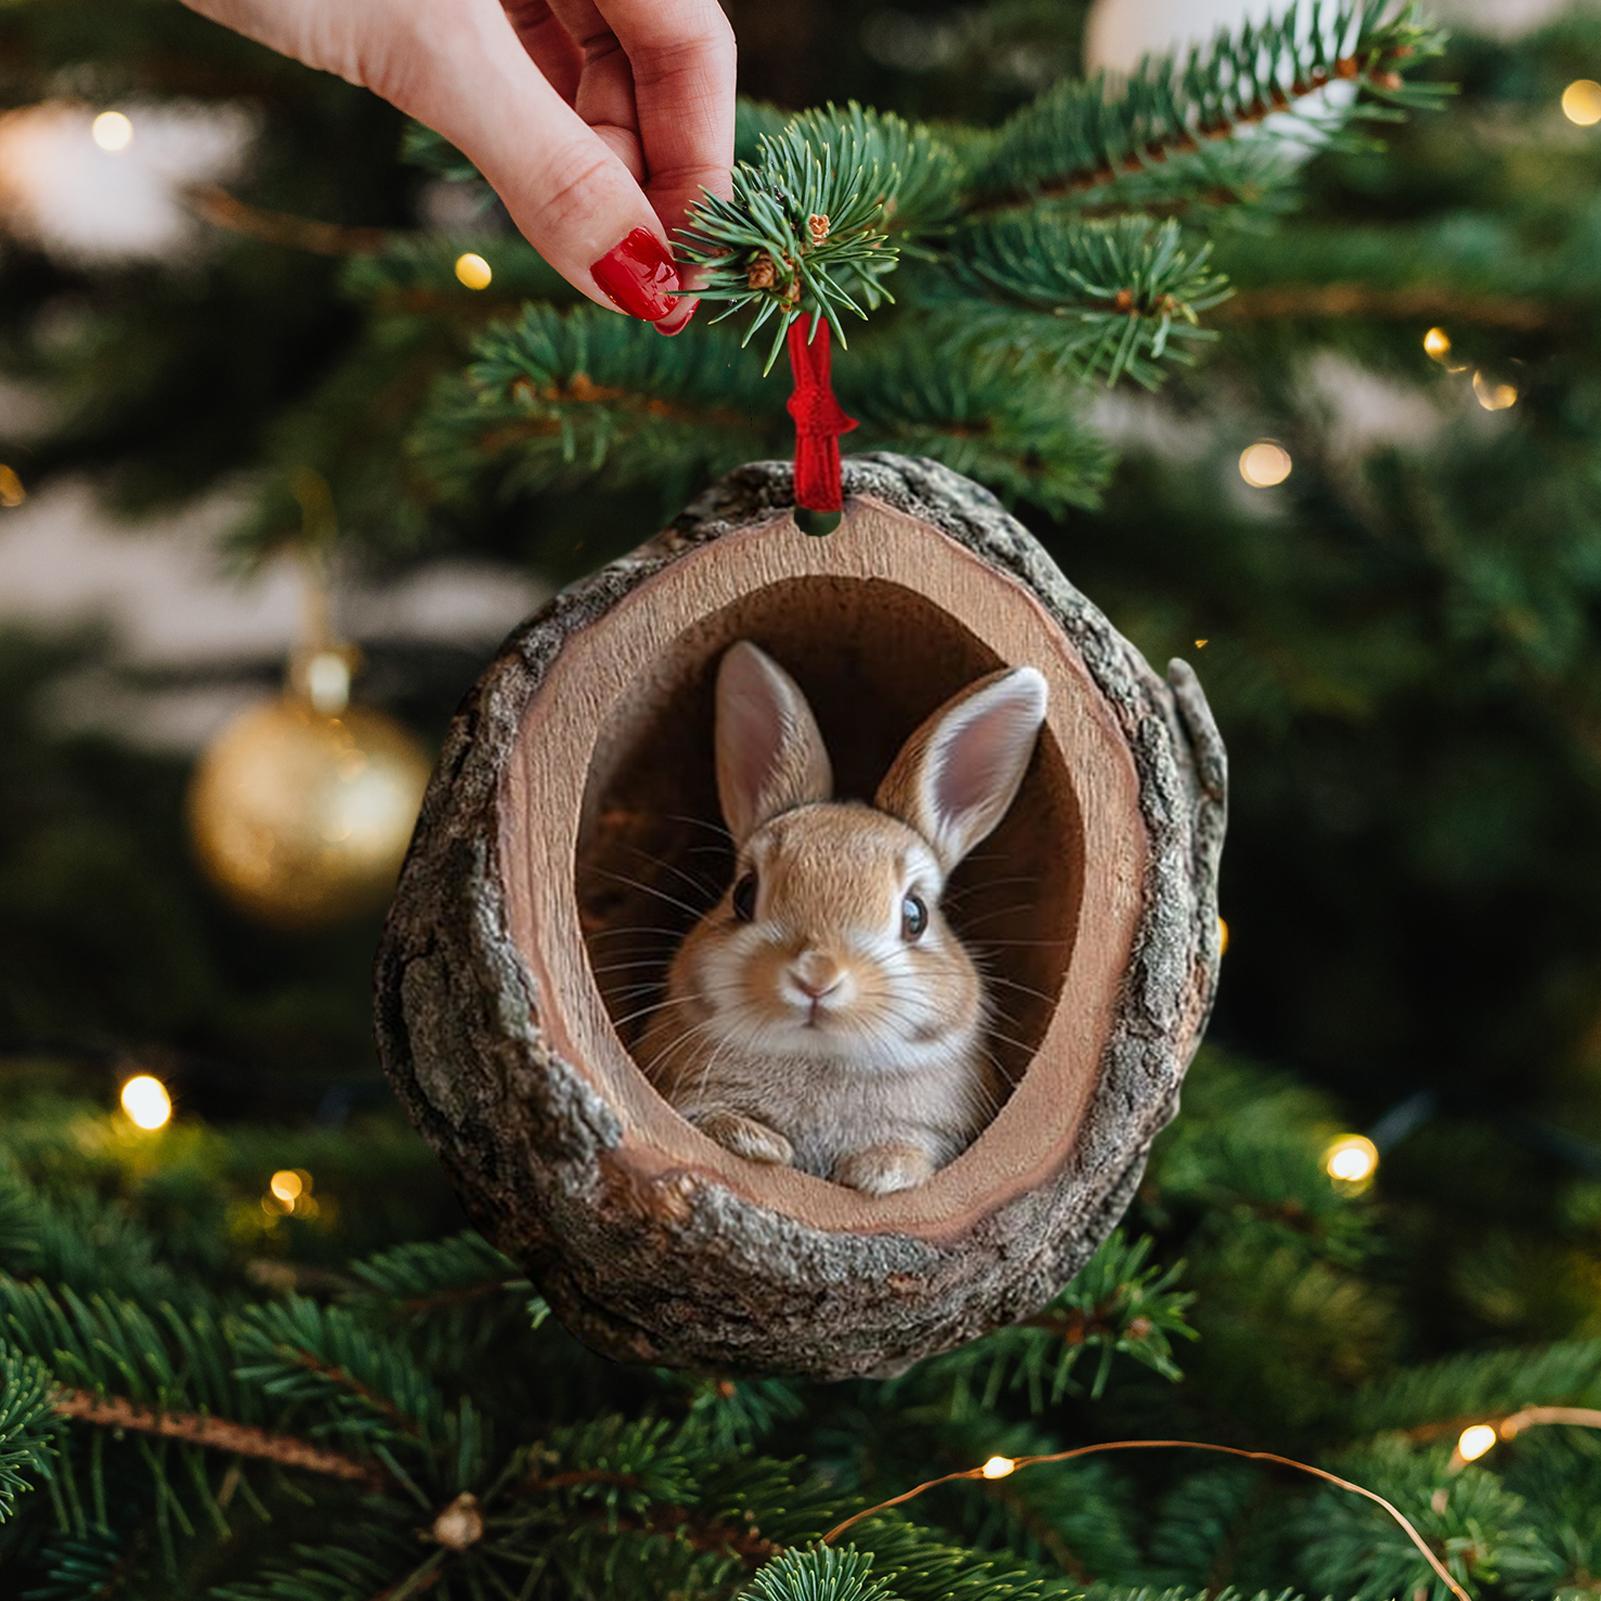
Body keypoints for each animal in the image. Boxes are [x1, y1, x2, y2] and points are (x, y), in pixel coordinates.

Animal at [636, 639, 1049, 1196]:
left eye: (915, 915)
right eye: (744, 894)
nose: (817, 976)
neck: (820, 1057)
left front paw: (881, 1171)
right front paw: (758, 1143)